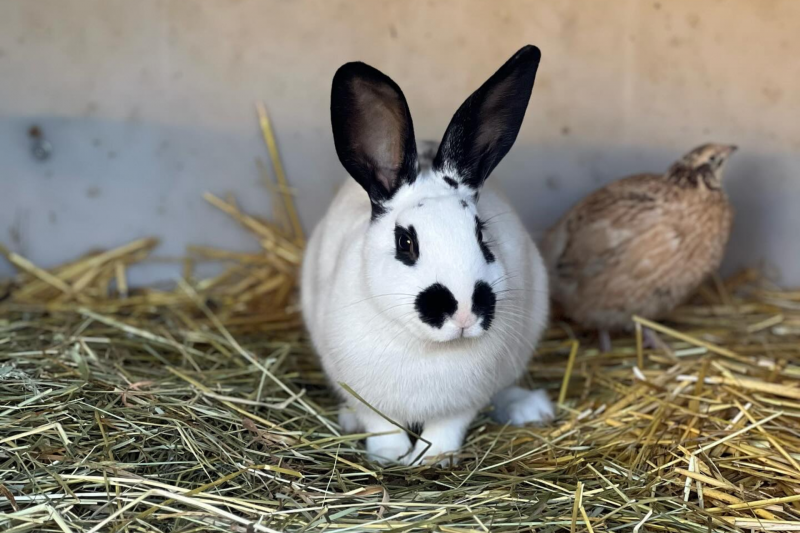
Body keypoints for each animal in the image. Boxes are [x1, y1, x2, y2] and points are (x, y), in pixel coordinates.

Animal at [304, 43, 552, 464]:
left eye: (481, 234)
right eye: (406, 243)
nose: (465, 313)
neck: (428, 349)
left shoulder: (461, 405)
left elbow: (444, 430)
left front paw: (432, 459)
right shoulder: (369, 397)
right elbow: (381, 426)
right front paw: (388, 456)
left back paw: (527, 407)